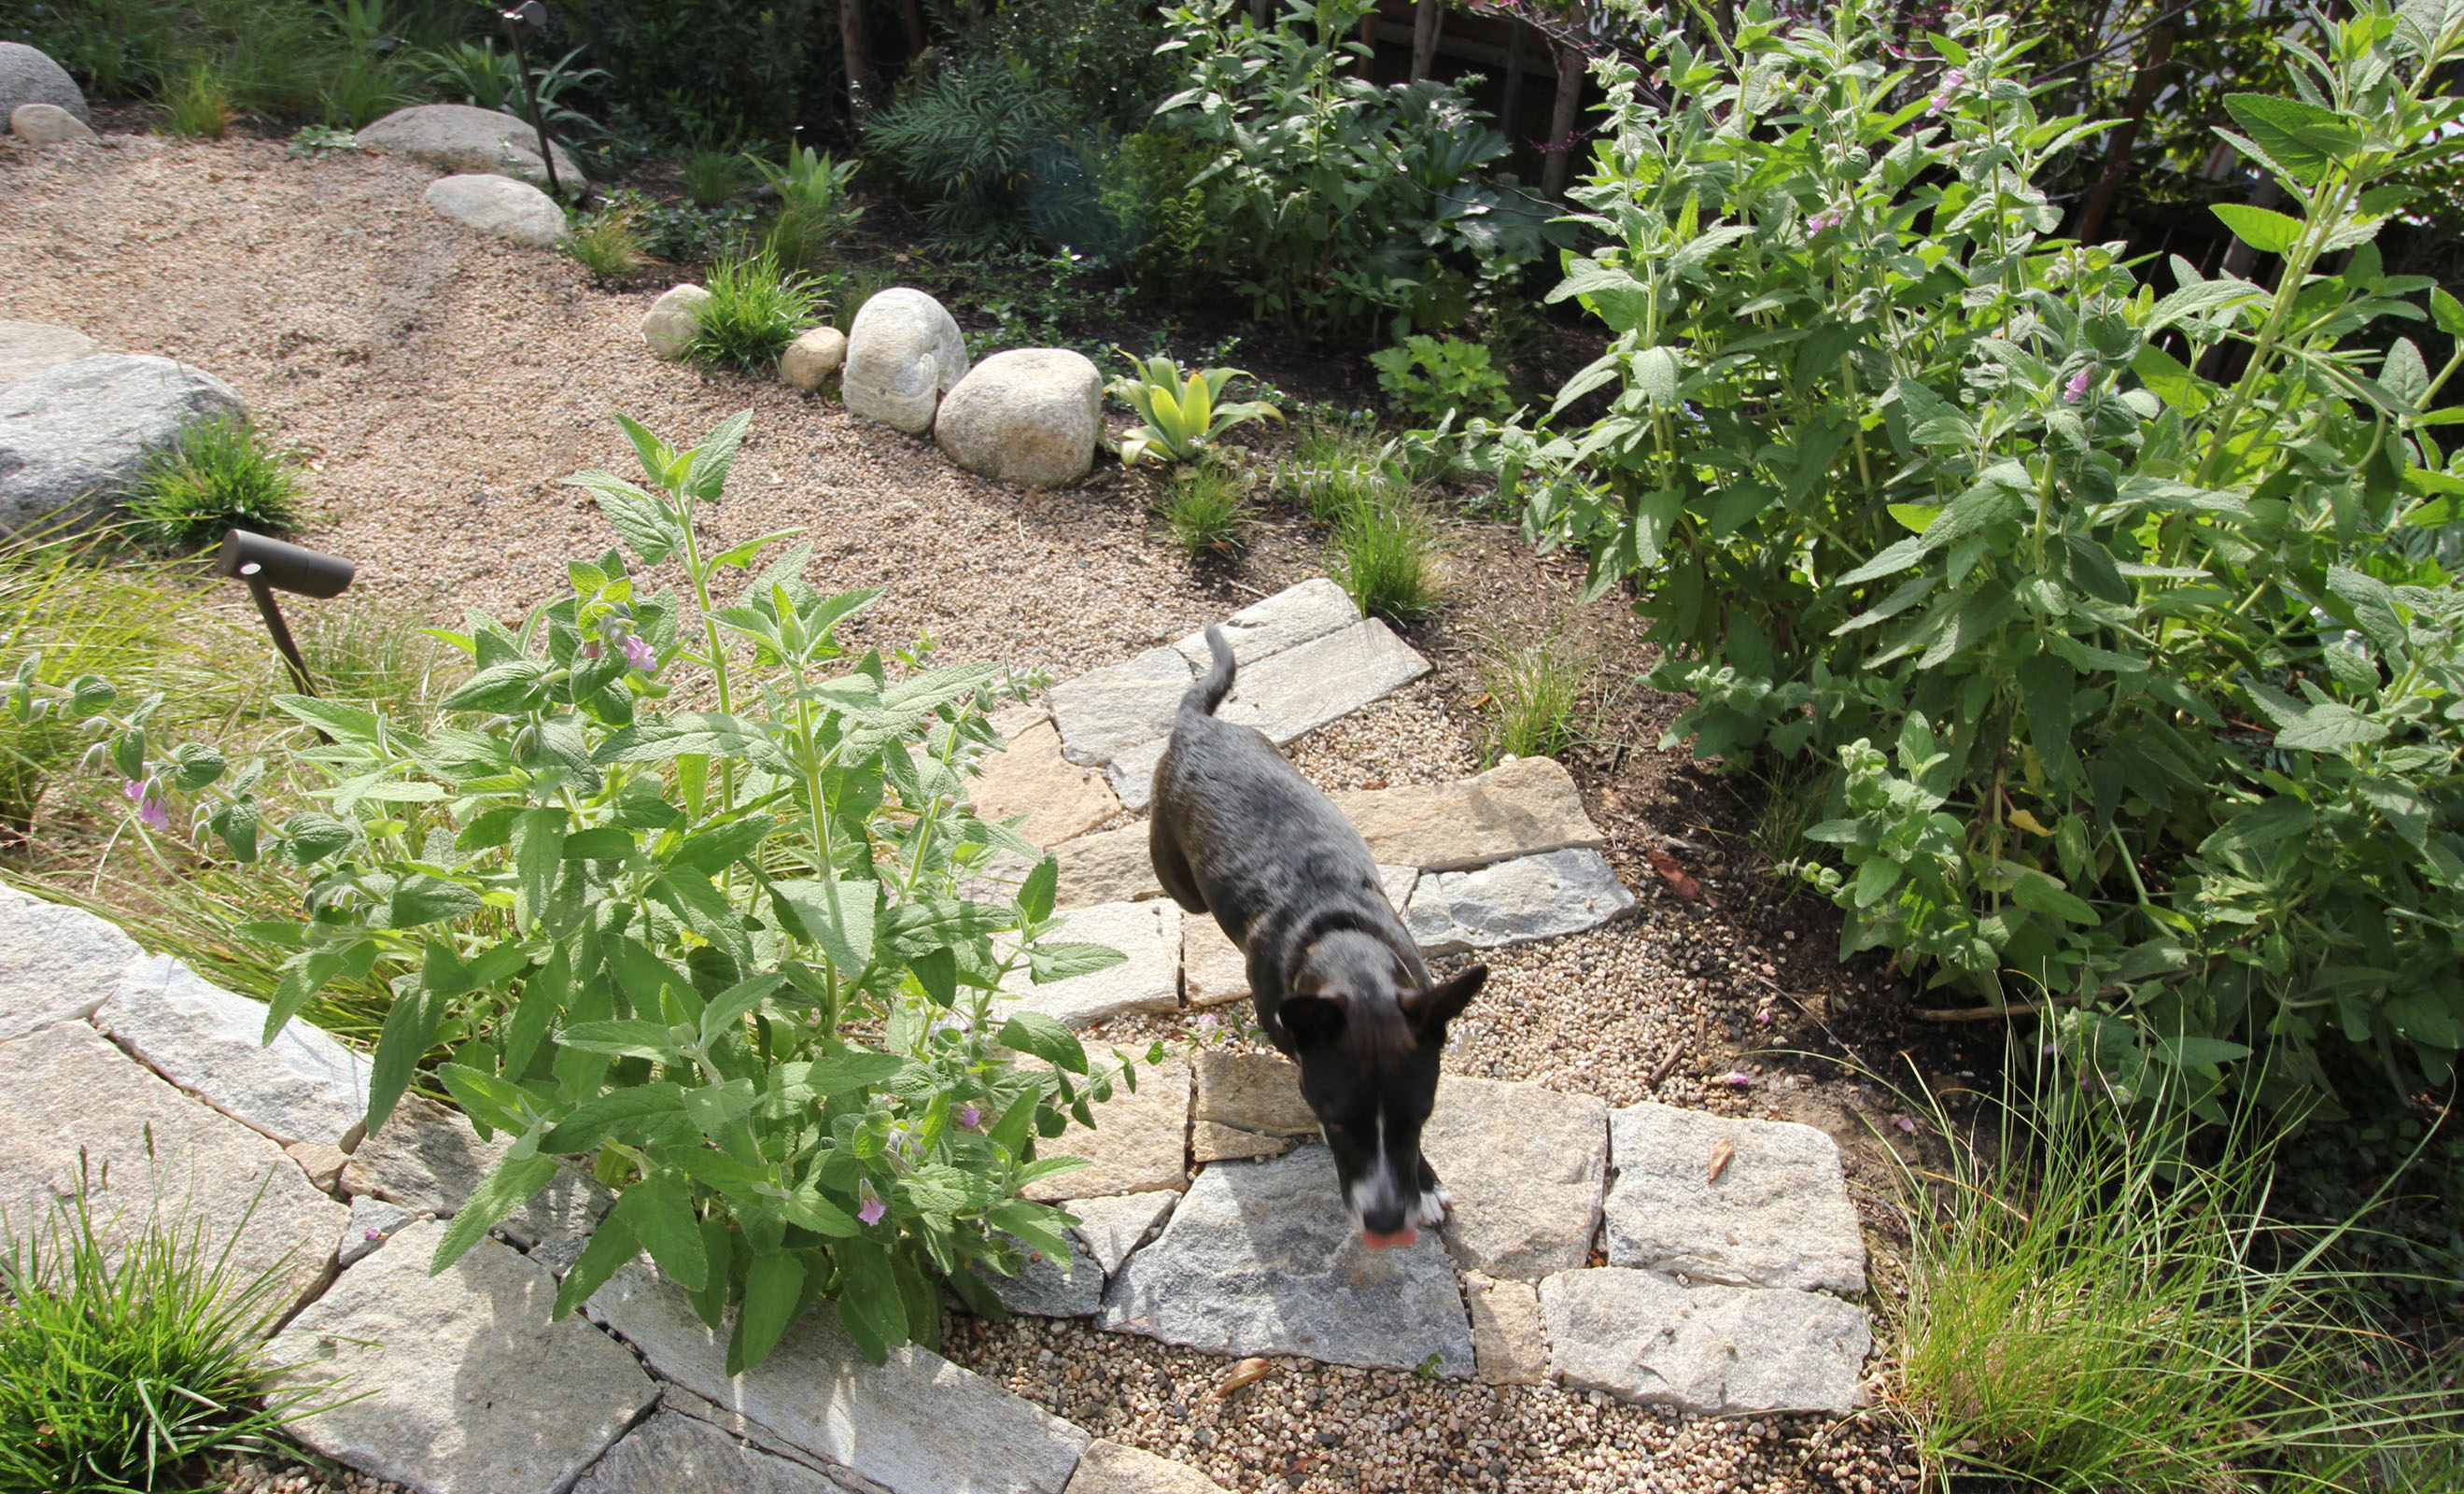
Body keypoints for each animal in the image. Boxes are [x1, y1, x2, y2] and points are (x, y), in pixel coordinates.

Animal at [1149, 625, 1487, 1250]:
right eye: (1335, 1124)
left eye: (1420, 1119)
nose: (1385, 1222)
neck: (1344, 942)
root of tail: (1196, 723)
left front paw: (1425, 1183)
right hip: (1178, 878)